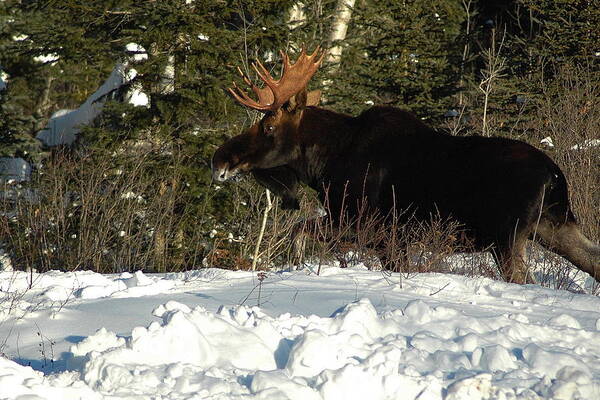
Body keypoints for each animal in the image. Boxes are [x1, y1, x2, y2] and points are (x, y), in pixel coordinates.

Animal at [212, 46, 600, 284]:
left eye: (268, 127)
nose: (220, 159)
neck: (322, 167)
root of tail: (554, 175)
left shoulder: (368, 225)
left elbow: (298, 232)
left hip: (508, 235)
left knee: (523, 277)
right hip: (553, 224)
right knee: (592, 259)